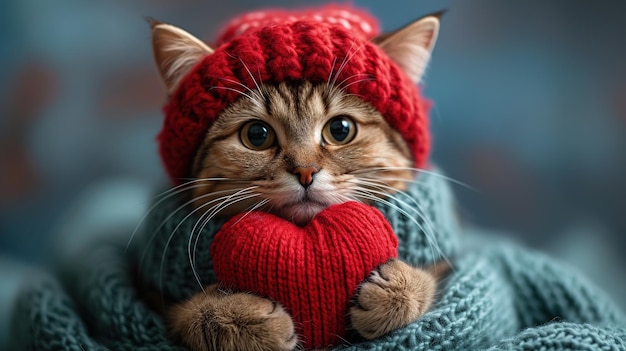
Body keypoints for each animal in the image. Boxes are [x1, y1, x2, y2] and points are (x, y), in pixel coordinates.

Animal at [149, 6, 444, 351]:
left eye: (340, 129)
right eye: (257, 134)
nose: (305, 171)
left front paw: (401, 286)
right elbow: (185, 314)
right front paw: (233, 317)